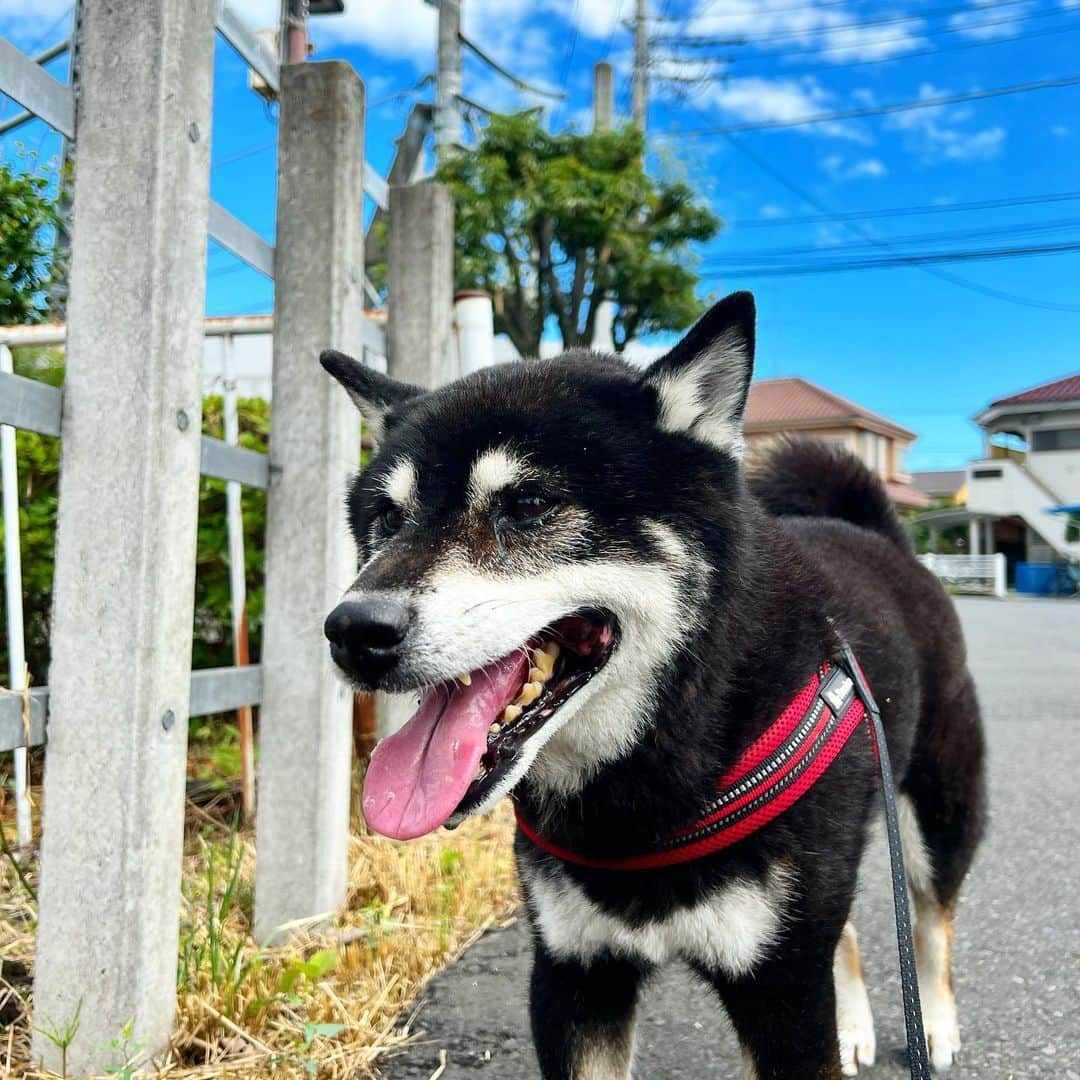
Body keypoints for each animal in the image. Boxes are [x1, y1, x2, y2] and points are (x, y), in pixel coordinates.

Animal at [315, 293, 984, 1080]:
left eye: (528, 503)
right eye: (387, 517)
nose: (355, 630)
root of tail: (883, 539)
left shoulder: (782, 990)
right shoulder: (575, 972)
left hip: (939, 809)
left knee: (932, 917)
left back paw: (935, 1024)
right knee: (846, 928)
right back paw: (854, 1027)